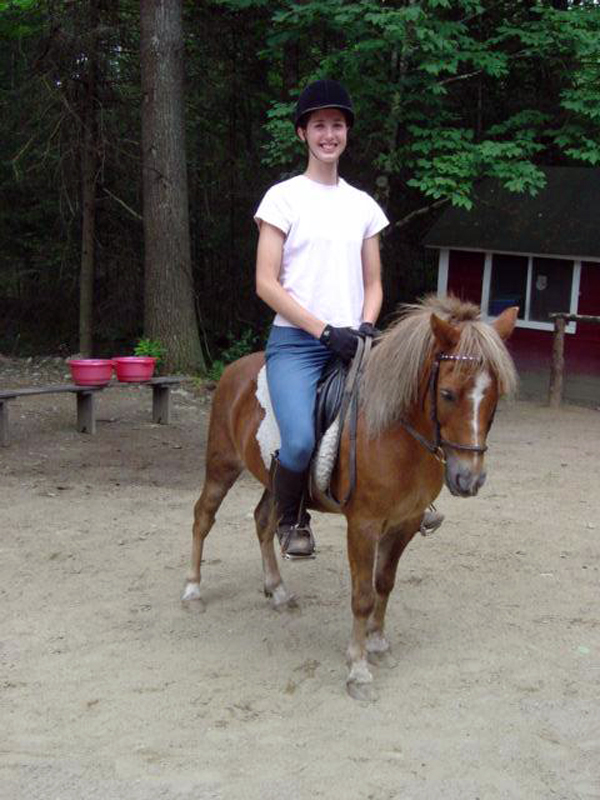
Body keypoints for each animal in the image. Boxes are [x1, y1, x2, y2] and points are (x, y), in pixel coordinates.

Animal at [183, 295, 518, 700]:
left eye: (496, 394)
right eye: (448, 394)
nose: (469, 478)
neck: (394, 431)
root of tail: (235, 370)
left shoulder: (405, 522)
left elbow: (384, 583)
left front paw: (377, 644)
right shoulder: (363, 526)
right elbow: (362, 595)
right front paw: (357, 669)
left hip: (273, 478)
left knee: (263, 521)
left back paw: (278, 592)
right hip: (222, 465)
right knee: (203, 517)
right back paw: (193, 591)